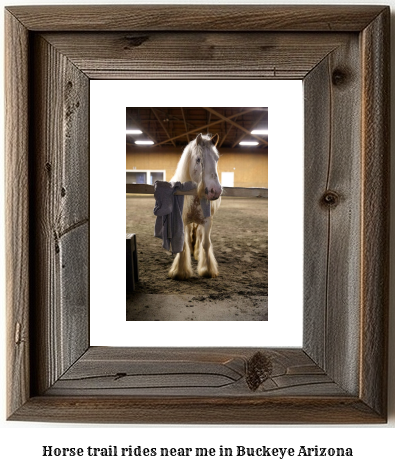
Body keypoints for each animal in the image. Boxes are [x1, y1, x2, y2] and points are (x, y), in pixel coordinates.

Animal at [168, 133, 223, 280]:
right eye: (198, 159)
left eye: (216, 158)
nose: (215, 190)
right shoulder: (182, 222)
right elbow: (183, 243)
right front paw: (180, 271)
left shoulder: (207, 221)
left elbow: (205, 243)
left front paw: (207, 269)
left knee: (198, 234)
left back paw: (197, 252)